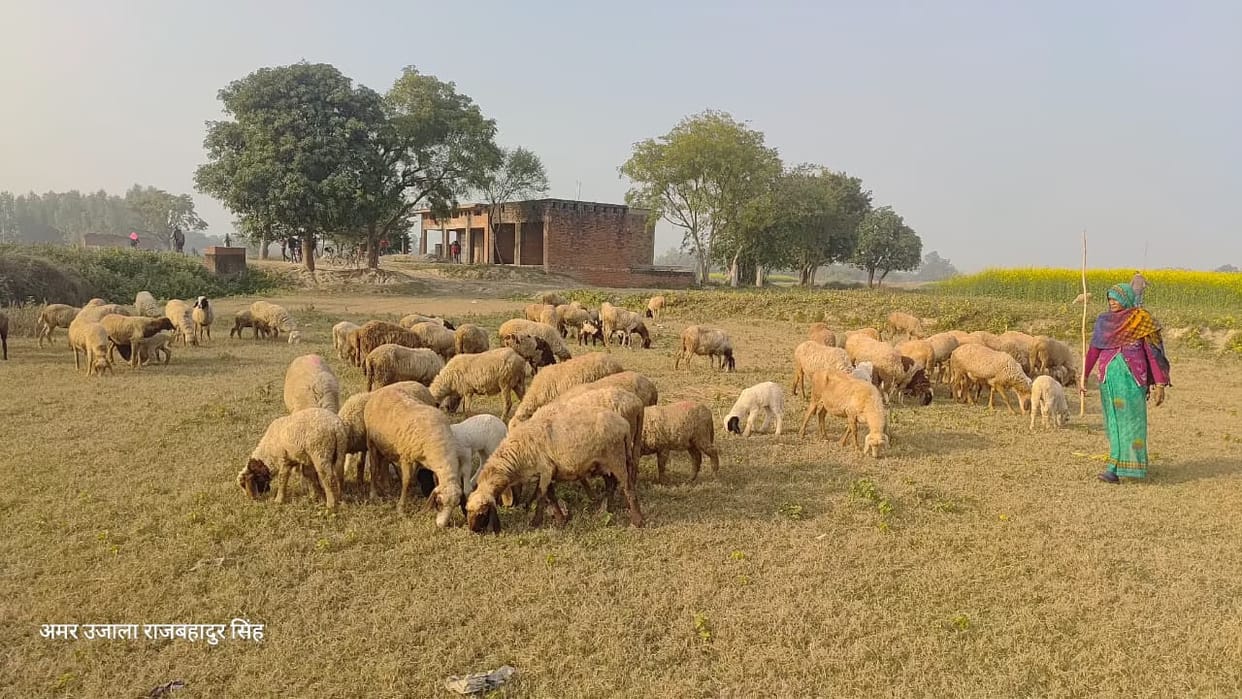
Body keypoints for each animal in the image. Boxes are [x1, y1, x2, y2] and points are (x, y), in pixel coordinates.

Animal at [363, 388, 465, 522]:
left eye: (455, 506)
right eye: (440, 502)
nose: (441, 525)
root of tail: (383, 390)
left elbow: (434, 480)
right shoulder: (407, 458)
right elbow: (406, 481)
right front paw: (401, 508)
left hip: (386, 446)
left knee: (384, 463)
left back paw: (387, 487)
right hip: (371, 442)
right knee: (374, 469)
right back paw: (373, 494)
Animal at [466, 408, 642, 533]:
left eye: (482, 513)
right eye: (468, 511)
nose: (473, 530)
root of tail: (624, 424)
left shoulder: (545, 469)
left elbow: (541, 496)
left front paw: (535, 522)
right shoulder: (547, 472)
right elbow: (550, 496)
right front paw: (560, 519)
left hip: (616, 457)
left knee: (628, 487)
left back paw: (637, 521)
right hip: (603, 464)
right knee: (611, 484)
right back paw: (606, 510)